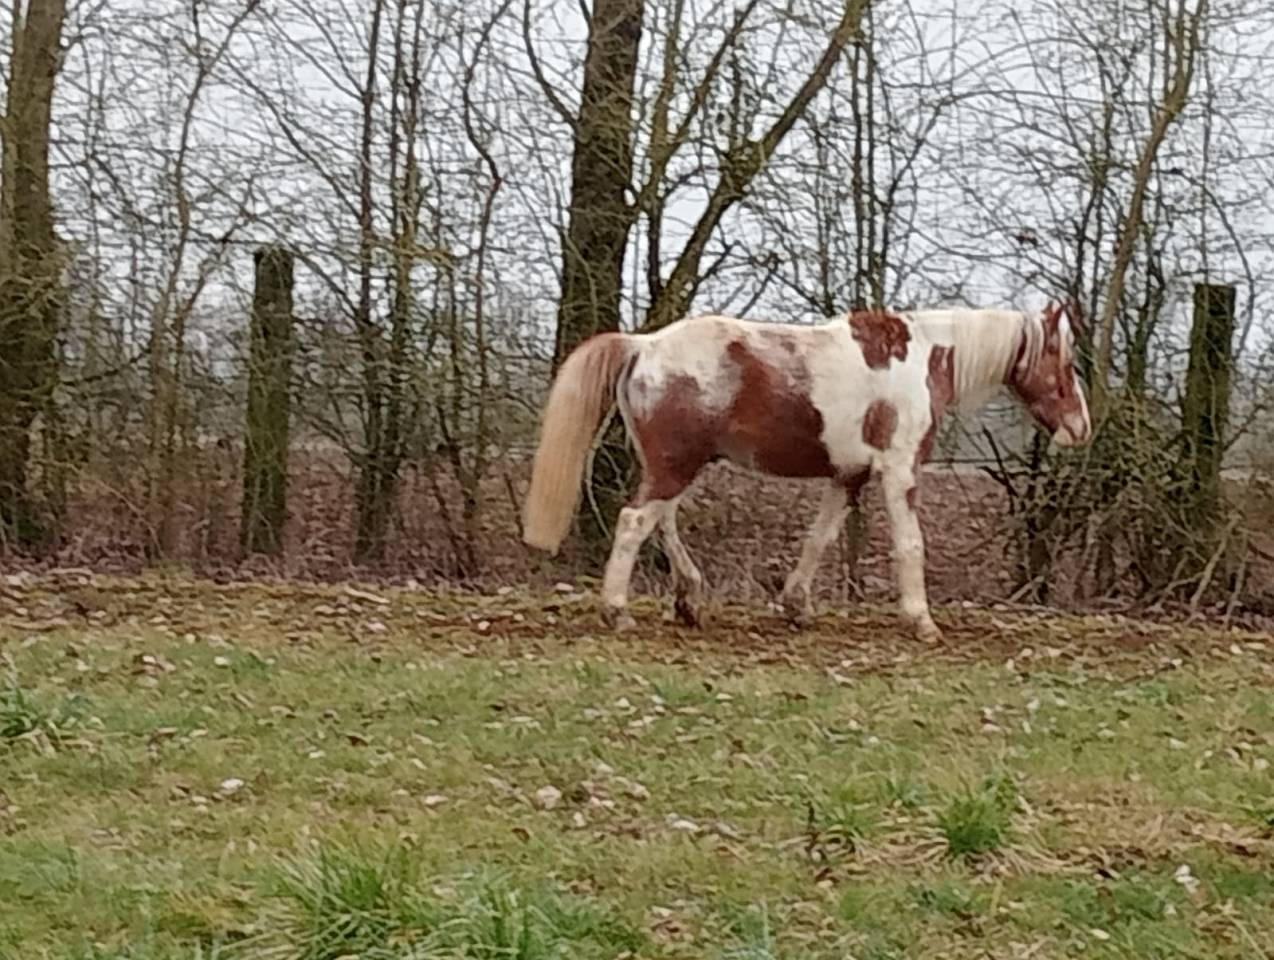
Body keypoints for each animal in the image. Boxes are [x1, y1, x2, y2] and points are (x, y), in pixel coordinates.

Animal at [521, 302, 1092, 640]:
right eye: (1064, 361)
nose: (1080, 427)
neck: (924, 359)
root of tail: (643, 346)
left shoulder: (848, 476)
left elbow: (819, 538)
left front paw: (797, 605)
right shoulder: (900, 470)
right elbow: (910, 545)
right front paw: (921, 620)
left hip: (672, 466)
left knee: (661, 523)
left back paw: (689, 600)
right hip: (674, 467)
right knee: (635, 523)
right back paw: (617, 610)